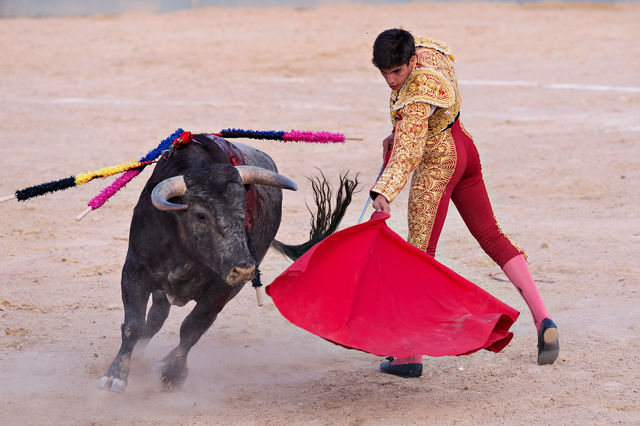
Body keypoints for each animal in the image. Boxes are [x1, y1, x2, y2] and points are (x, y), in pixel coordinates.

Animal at [100, 133, 360, 392]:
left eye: (243, 210)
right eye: (200, 215)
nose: (244, 268)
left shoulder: (221, 288)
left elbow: (192, 327)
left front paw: (172, 373)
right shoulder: (135, 271)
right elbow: (133, 325)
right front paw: (115, 376)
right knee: (156, 317)